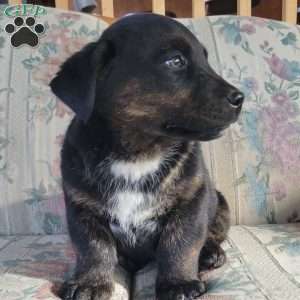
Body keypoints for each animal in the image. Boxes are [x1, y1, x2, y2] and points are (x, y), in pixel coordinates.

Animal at [51, 13, 244, 300]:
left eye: (206, 59)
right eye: (175, 61)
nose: (240, 98)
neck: (138, 153)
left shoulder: (191, 202)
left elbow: (180, 245)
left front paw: (178, 283)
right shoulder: (82, 209)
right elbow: (94, 249)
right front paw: (90, 283)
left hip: (220, 203)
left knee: (212, 234)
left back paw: (209, 253)